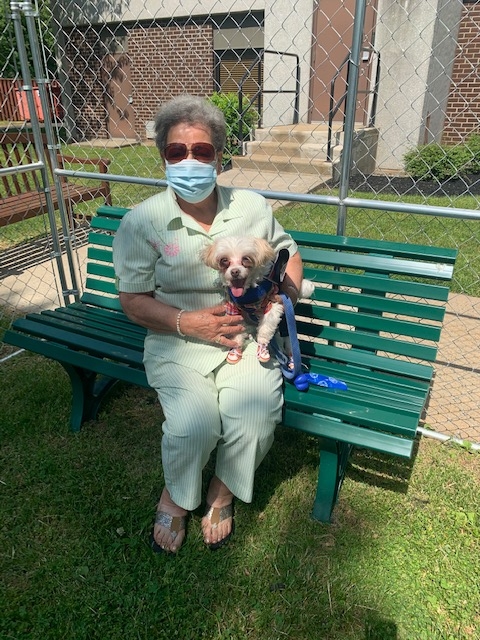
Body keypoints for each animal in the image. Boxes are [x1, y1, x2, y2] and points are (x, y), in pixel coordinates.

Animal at [200, 235, 316, 364]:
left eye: (246, 258)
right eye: (224, 260)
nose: (235, 271)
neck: (248, 294)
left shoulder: (272, 305)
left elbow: (265, 328)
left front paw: (263, 348)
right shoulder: (233, 309)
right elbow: (237, 330)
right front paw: (236, 349)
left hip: (286, 322)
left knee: (289, 341)